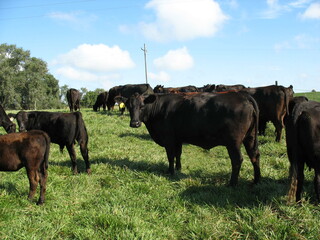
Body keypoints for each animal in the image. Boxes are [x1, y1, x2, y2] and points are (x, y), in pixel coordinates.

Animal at [127, 92, 260, 186]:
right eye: (129, 107)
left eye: (142, 106)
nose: (134, 123)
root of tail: (242, 96)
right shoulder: (178, 138)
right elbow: (178, 154)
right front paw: (178, 168)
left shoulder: (168, 138)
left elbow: (170, 155)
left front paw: (170, 172)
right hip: (250, 137)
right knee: (255, 155)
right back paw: (256, 180)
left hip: (233, 142)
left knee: (237, 159)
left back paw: (232, 184)